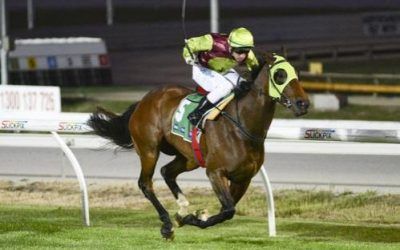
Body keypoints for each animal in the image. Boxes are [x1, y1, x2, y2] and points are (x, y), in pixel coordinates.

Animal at [89, 53, 310, 239]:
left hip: (189, 157)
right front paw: (191, 218)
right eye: (280, 75)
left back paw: (182, 207)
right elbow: (228, 210)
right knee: (145, 183)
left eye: (296, 74)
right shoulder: (215, 172)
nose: (304, 104)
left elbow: (226, 211)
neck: (243, 126)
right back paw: (167, 223)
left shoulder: (243, 178)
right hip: (149, 149)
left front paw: (191, 217)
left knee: (167, 171)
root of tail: (144, 100)